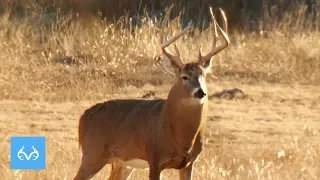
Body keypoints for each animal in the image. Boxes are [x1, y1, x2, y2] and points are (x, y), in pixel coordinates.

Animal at [74, 5, 230, 180]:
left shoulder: (189, 163)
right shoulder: (155, 158)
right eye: (184, 77)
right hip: (92, 154)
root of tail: (83, 117)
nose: (200, 92)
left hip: (122, 162)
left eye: (203, 75)